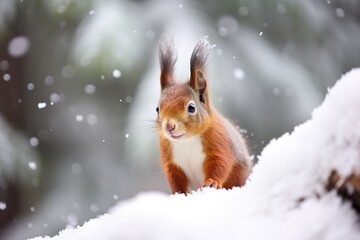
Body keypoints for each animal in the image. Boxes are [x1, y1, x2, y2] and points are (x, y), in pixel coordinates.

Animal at [156, 37, 252, 195]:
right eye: (157, 109)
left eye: (191, 108)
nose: (169, 126)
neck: (187, 141)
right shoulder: (170, 160)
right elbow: (175, 178)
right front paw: (178, 194)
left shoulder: (219, 141)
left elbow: (221, 162)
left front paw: (212, 182)